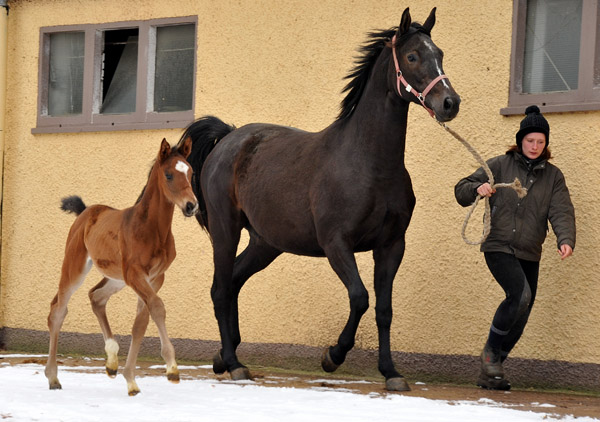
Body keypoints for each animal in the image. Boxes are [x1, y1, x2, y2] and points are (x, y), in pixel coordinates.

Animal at [45, 138, 199, 396]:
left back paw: (111, 360)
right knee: (58, 309)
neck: (152, 229)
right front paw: (171, 368)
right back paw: (53, 377)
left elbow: (141, 322)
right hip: (75, 267)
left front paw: (131, 379)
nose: (191, 206)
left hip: (116, 278)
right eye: (168, 175)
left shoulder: (155, 277)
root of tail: (85, 211)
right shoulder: (135, 273)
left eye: (190, 172)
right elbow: (157, 307)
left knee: (96, 296)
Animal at [177, 7, 460, 392]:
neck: (370, 163)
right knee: (220, 289)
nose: (450, 103)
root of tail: (229, 138)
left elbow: (384, 310)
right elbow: (360, 298)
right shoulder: (336, 243)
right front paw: (332, 356)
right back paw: (234, 364)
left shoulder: (391, 245)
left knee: (233, 280)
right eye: (413, 56)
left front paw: (391, 372)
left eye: (440, 54)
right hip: (226, 231)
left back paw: (224, 355)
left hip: (266, 243)